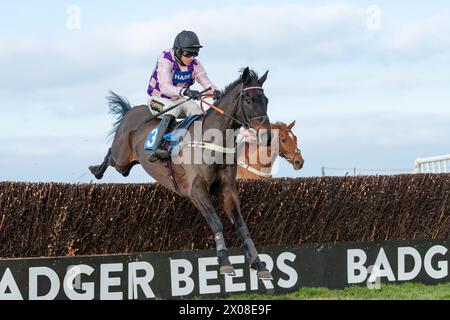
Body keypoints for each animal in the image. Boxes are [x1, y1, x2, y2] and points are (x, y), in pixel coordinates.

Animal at [88, 68, 270, 280]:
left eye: (266, 100)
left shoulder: (228, 189)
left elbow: (242, 226)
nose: (267, 136)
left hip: (125, 165)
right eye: (248, 100)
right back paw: (96, 170)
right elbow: (216, 222)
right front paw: (224, 262)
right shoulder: (196, 190)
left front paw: (259, 264)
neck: (212, 141)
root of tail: (130, 111)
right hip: (122, 158)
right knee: (111, 154)